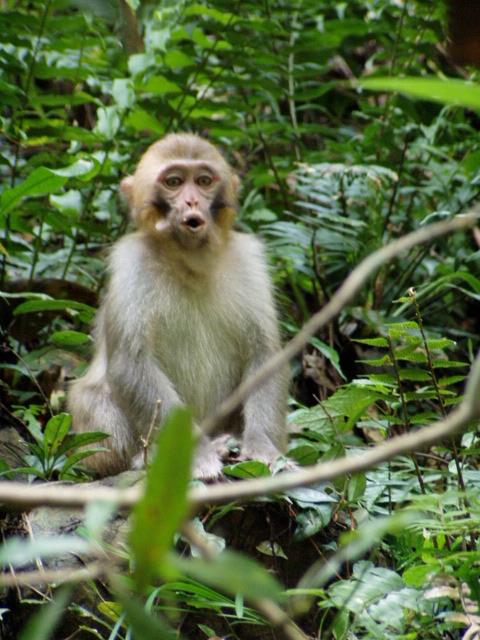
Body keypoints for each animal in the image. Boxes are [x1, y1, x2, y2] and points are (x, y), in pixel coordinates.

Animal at [67, 134, 288, 480]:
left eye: (203, 181)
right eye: (174, 182)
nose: (192, 202)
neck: (190, 263)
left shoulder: (248, 260)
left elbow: (264, 354)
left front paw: (263, 447)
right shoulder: (132, 262)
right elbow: (131, 362)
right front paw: (192, 455)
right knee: (90, 397)